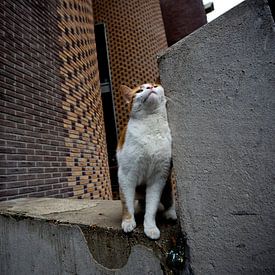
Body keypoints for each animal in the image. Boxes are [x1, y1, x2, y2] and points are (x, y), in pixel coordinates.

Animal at [116, 83, 177, 240]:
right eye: (139, 90)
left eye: (155, 85)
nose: (150, 87)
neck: (151, 125)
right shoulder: (126, 176)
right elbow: (126, 203)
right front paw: (128, 221)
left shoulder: (158, 177)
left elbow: (152, 207)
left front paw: (150, 227)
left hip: (166, 185)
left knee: (169, 200)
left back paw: (170, 214)